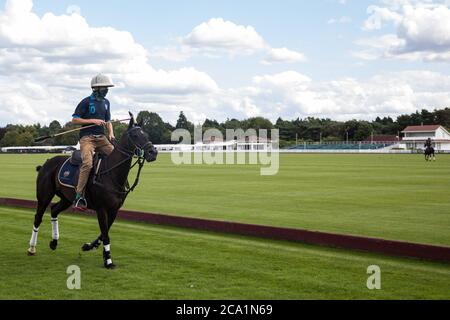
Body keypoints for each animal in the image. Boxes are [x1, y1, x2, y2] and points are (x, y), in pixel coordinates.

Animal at [28, 116, 158, 268]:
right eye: (135, 135)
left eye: (146, 135)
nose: (153, 152)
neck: (111, 173)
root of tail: (46, 163)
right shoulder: (101, 208)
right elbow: (105, 234)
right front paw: (108, 261)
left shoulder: (114, 209)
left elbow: (104, 232)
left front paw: (88, 246)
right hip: (44, 195)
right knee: (38, 217)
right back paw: (31, 248)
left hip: (67, 198)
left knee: (54, 210)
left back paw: (54, 242)